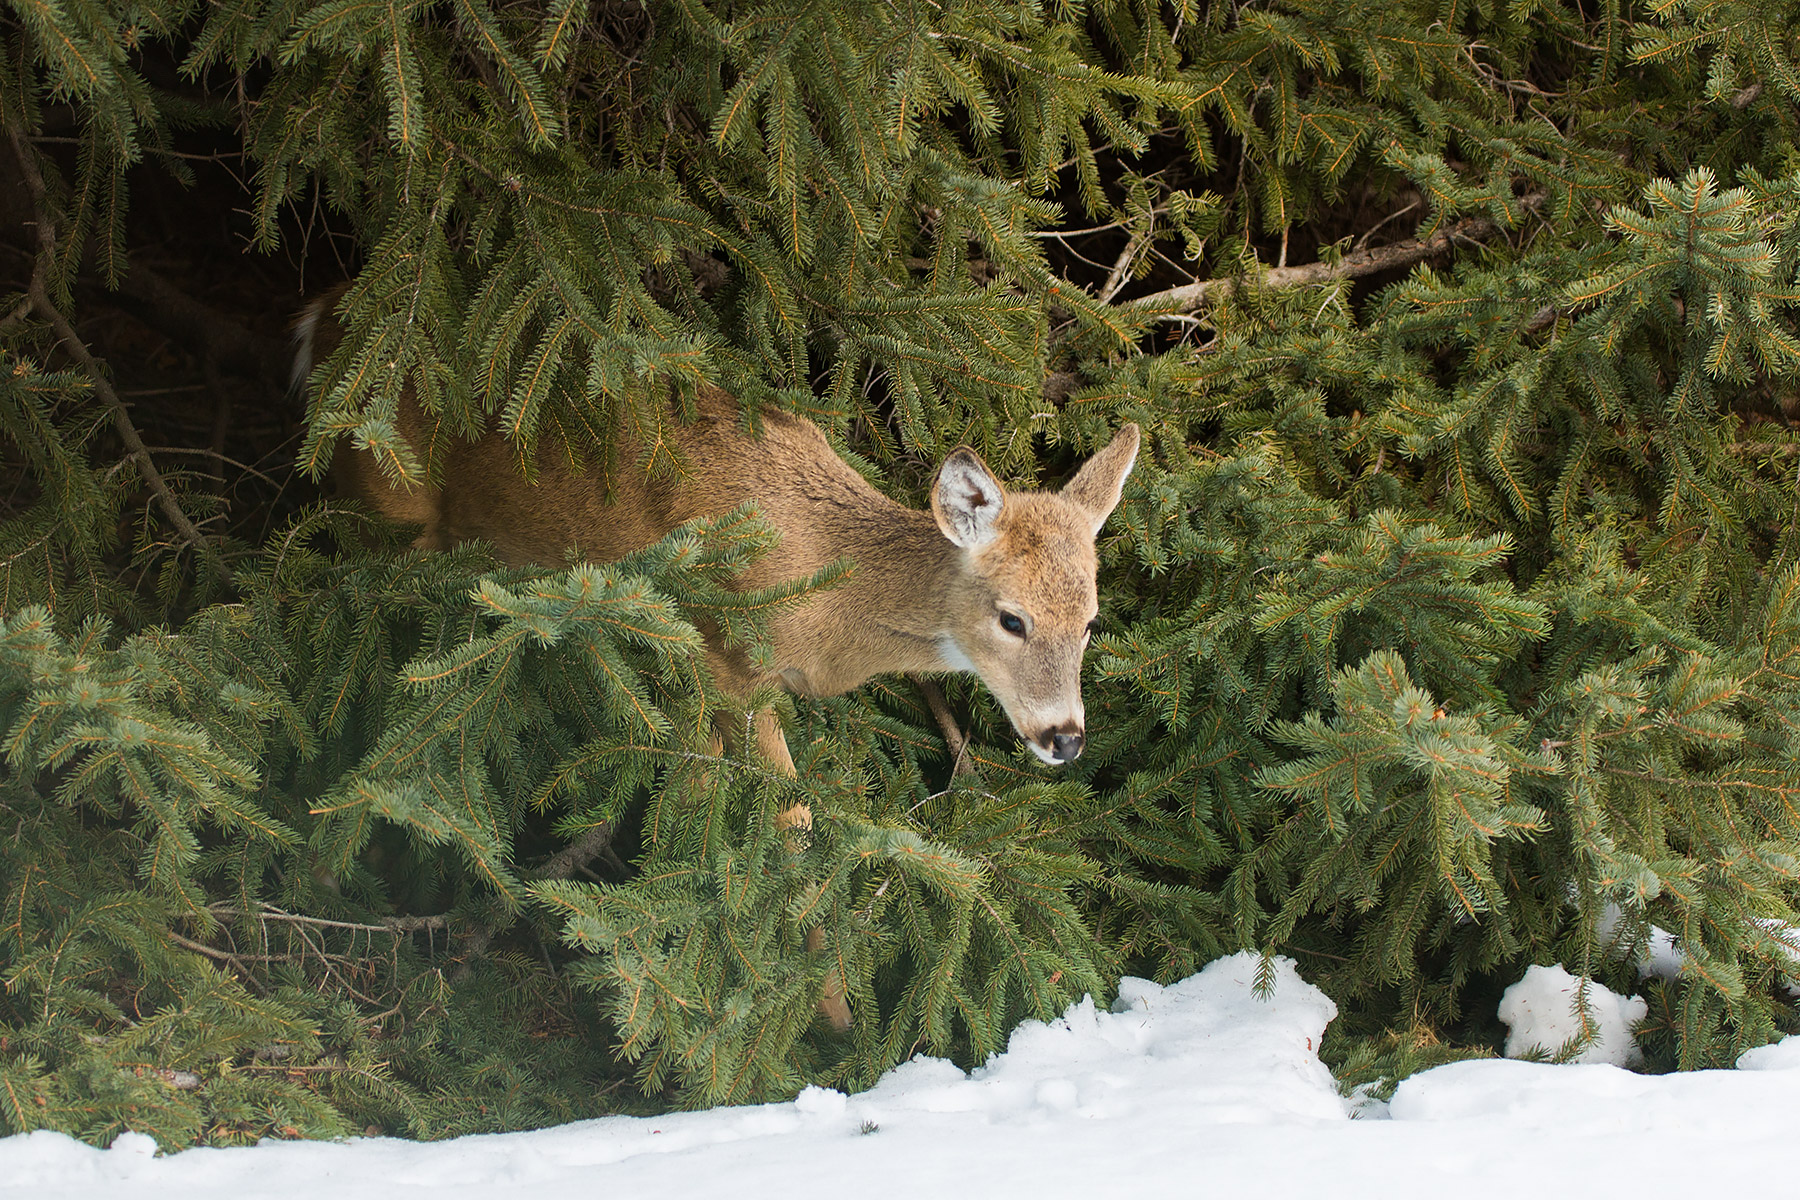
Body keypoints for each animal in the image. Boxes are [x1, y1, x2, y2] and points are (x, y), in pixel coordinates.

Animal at [295, 290, 1140, 1029]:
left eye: (1091, 622)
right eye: (1012, 619)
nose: (1065, 737)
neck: (828, 595)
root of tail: (324, 314)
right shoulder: (720, 656)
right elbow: (779, 818)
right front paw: (821, 1006)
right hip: (387, 518)